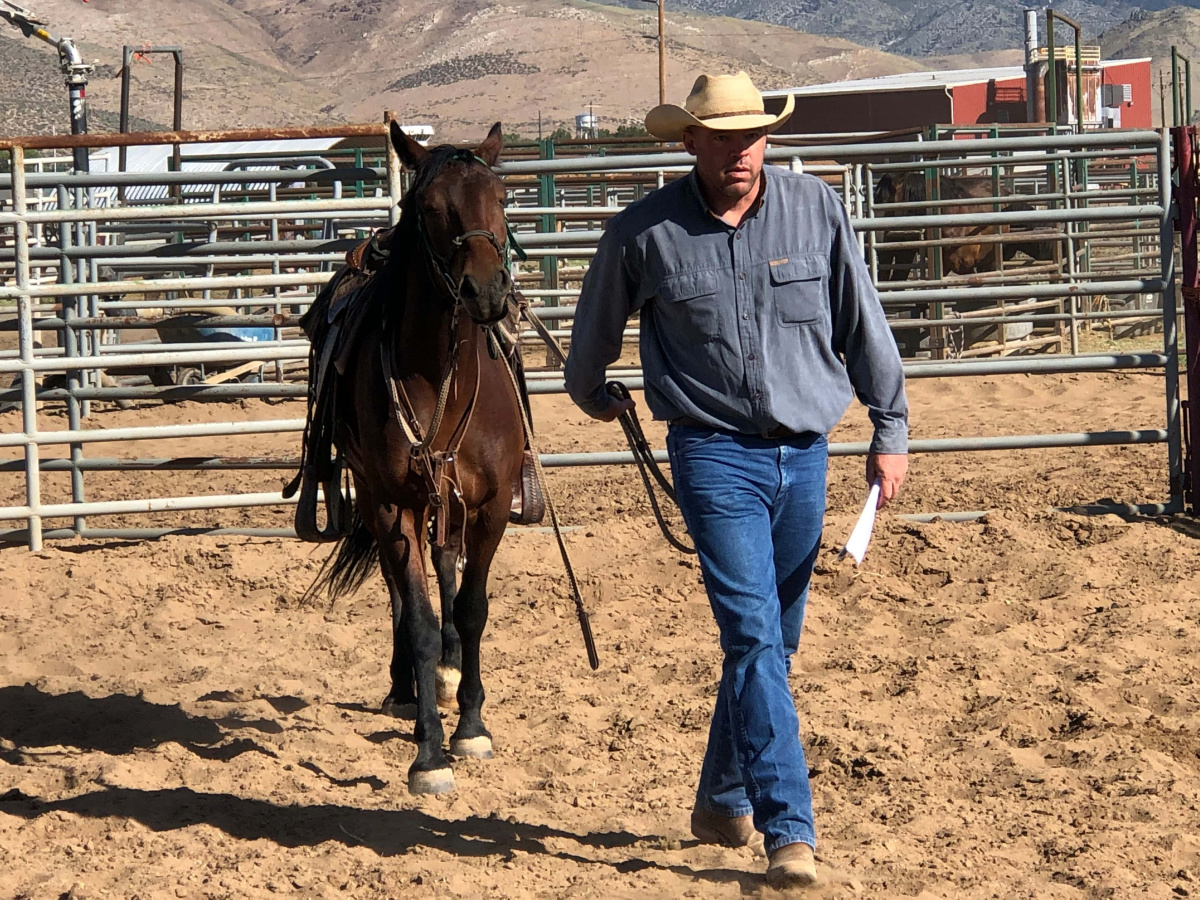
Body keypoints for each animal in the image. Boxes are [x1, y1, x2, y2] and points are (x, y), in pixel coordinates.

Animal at [295, 121, 525, 796]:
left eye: (501, 196)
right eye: (429, 207)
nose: (487, 292)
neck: (436, 376)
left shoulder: (490, 506)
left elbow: (471, 609)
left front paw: (471, 726)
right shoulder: (395, 504)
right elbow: (417, 617)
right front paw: (429, 754)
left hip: (446, 502)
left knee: (446, 569)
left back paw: (448, 676)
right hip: (380, 501)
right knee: (401, 591)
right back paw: (406, 688)